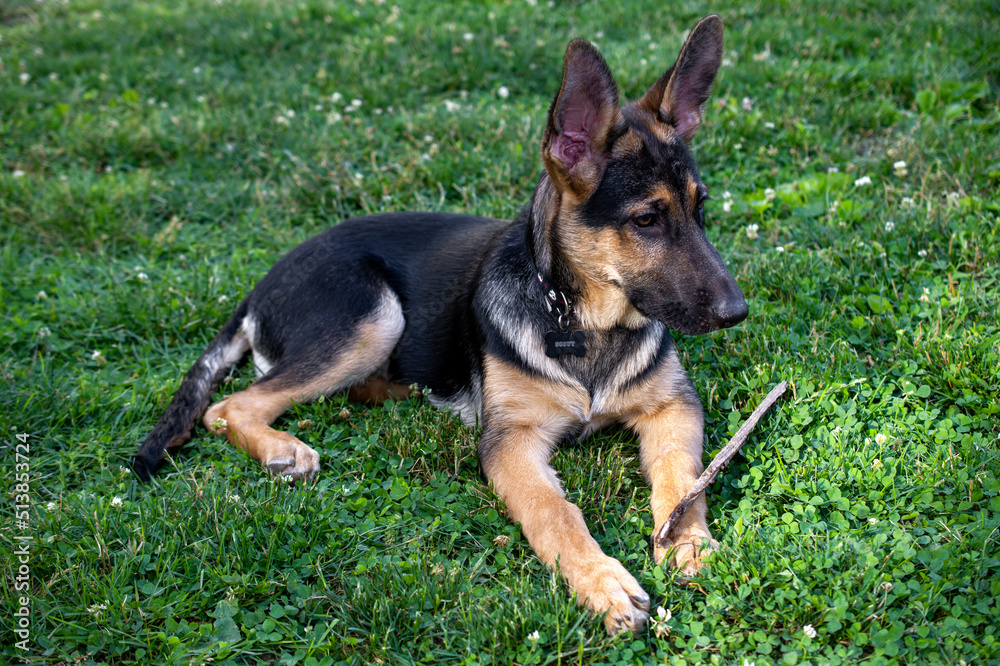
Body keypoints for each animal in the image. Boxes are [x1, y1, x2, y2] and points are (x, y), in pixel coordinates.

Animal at [133, 13, 744, 632]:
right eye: (645, 220)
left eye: (701, 208)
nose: (736, 312)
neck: (582, 319)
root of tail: (259, 286)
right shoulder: (509, 440)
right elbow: (553, 510)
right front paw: (602, 582)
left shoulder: (672, 407)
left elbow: (684, 477)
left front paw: (688, 544)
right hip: (373, 317)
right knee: (228, 406)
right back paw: (285, 447)